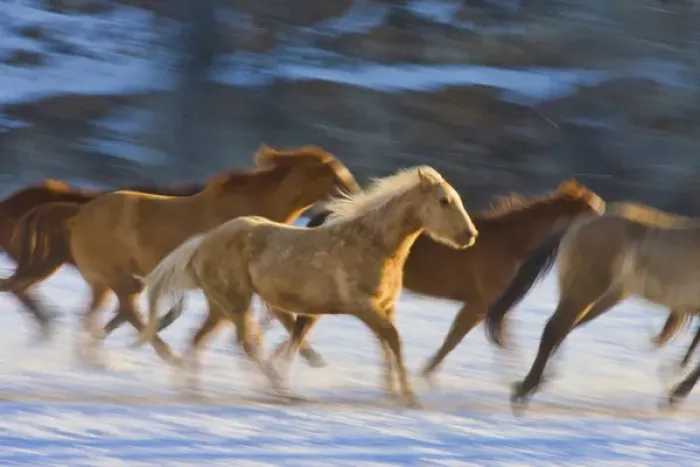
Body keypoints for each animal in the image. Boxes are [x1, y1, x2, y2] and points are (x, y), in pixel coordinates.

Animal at [134, 165, 478, 407]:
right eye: (444, 200)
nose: (470, 235)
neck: (373, 245)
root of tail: (203, 242)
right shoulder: (363, 306)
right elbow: (393, 341)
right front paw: (408, 397)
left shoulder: (383, 306)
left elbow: (384, 345)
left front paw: (392, 392)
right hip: (236, 302)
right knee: (246, 343)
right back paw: (282, 393)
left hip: (221, 307)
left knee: (200, 339)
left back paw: (193, 390)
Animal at [483, 202, 700, 413]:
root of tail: (580, 223)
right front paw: (676, 393)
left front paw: (674, 385)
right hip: (585, 291)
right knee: (555, 329)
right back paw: (525, 390)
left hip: (601, 297)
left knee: (564, 329)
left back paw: (535, 383)